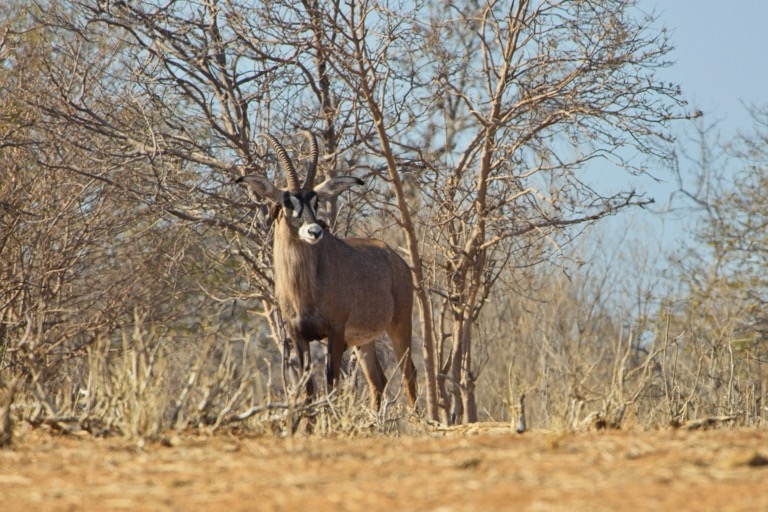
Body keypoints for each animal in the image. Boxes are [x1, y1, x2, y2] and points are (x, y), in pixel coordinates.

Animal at [236, 132, 417, 409]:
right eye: (287, 202)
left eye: (316, 200)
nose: (314, 231)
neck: (304, 289)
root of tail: (396, 259)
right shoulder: (297, 334)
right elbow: (309, 388)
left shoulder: (335, 330)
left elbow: (332, 384)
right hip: (363, 342)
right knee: (378, 381)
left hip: (399, 324)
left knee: (409, 375)